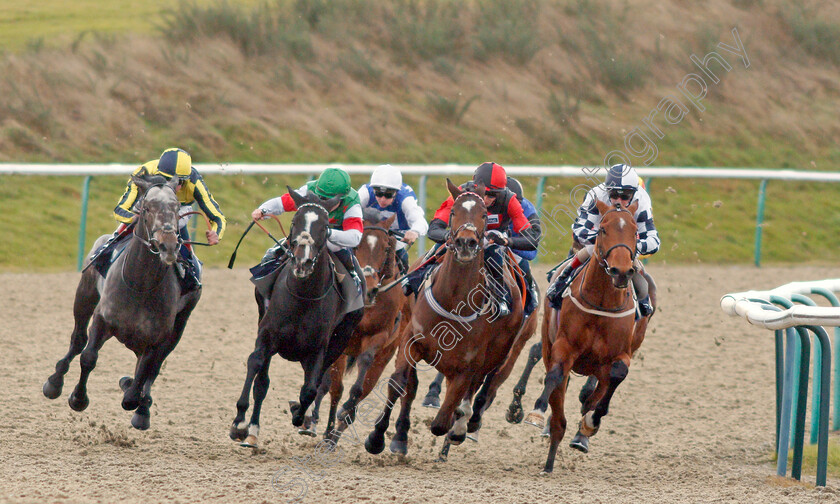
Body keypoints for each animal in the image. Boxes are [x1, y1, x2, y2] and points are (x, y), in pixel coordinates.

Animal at [43, 173, 199, 430]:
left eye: (177, 208)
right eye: (146, 207)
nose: (167, 245)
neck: (141, 285)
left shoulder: (158, 338)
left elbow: (142, 378)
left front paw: (134, 394)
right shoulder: (102, 319)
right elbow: (88, 357)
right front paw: (78, 399)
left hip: (179, 327)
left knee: (152, 369)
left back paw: (142, 408)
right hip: (85, 294)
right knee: (78, 339)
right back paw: (54, 382)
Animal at [230, 188, 364, 444]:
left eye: (325, 227)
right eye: (294, 221)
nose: (303, 261)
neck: (303, 297)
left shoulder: (318, 348)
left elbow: (310, 389)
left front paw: (299, 414)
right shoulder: (267, 334)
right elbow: (256, 365)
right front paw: (240, 423)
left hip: (339, 341)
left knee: (318, 383)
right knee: (262, 382)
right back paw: (252, 430)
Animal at [362, 180, 524, 460]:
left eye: (484, 215)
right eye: (453, 212)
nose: (466, 242)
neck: (453, 301)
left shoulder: (468, 367)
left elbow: (442, 420)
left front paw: (455, 428)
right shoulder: (411, 341)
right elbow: (398, 384)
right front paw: (377, 438)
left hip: (497, 355)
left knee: (472, 393)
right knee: (412, 388)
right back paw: (401, 438)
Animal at [524, 199, 656, 474]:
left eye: (635, 232)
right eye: (603, 229)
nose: (621, 271)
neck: (602, 302)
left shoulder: (622, 354)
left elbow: (614, 378)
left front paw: (590, 422)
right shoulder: (564, 347)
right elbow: (554, 376)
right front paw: (537, 411)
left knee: (595, 391)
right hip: (550, 341)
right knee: (557, 394)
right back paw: (550, 460)